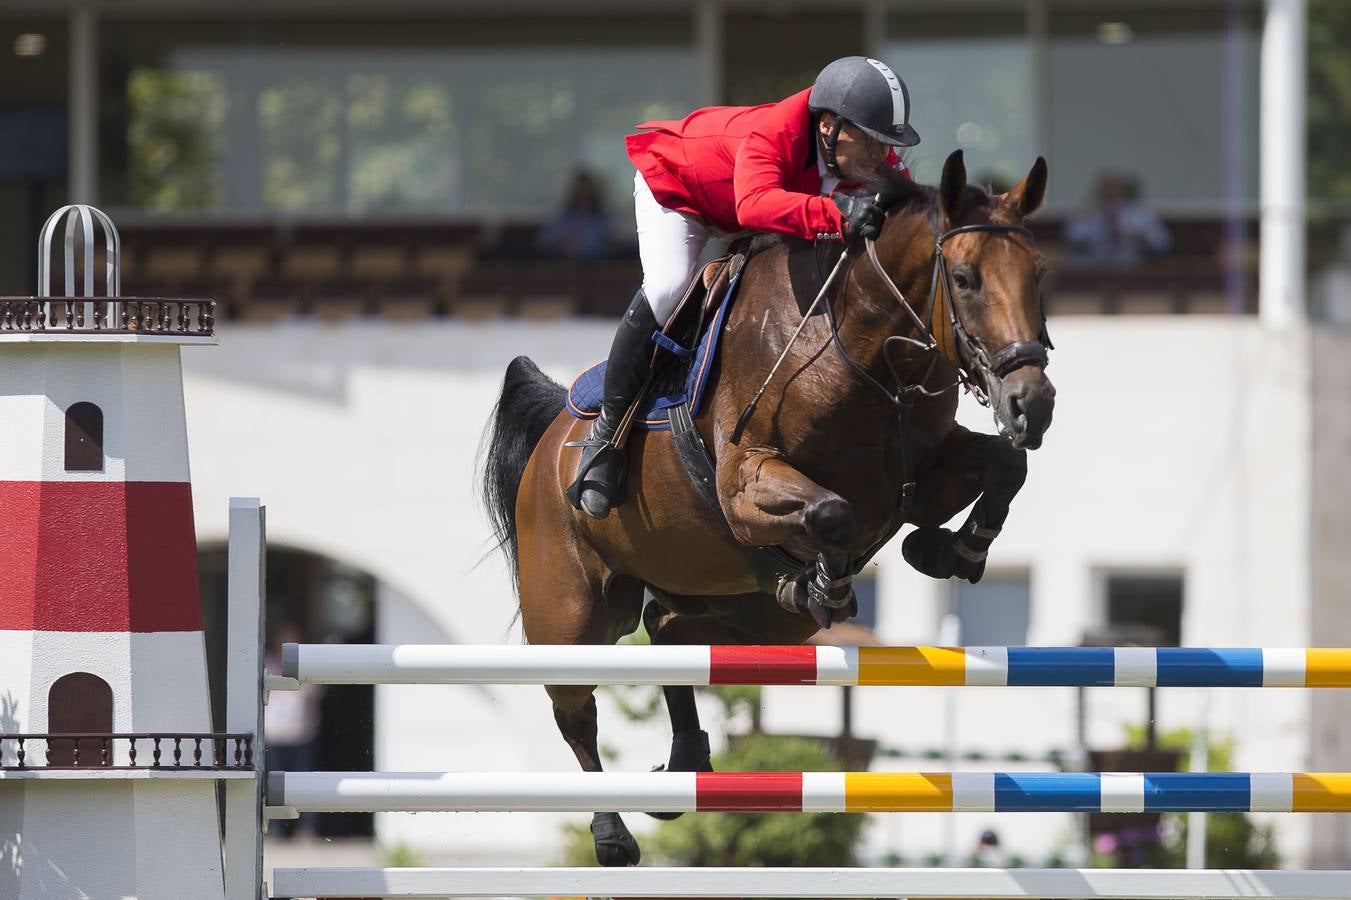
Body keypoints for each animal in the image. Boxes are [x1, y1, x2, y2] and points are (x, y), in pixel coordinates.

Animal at [480, 150, 1059, 864]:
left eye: (1039, 274)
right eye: (964, 278)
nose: (1032, 404)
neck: (859, 350)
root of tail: (552, 439)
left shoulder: (921, 480)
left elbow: (1006, 465)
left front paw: (949, 550)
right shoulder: (745, 484)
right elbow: (832, 513)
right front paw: (829, 584)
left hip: (744, 614)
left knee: (668, 633)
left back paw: (687, 764)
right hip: (574, 612)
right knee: (575, 709)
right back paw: (613, 833)